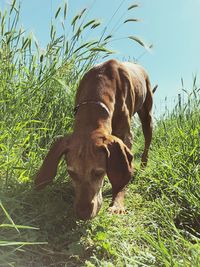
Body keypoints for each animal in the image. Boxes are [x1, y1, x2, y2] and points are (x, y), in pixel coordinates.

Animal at [34, 59, 153, 221]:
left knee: (147, 142)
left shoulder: (126, 136)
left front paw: (117, 203)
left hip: (147, 115)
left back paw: (143, 164)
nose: (83, 214)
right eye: (71, 173)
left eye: (98, 173)